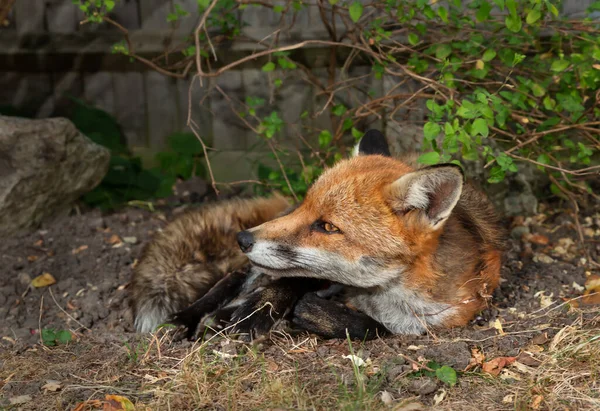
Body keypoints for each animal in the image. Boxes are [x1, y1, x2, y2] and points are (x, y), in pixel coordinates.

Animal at [134, 130, 504, 340]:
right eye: (306, 206)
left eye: (327, 226)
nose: (243, 239)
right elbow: (286, 285)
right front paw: (258, 313)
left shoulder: (437, 322)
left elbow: (372, 327)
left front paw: (307, 314)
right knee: (231, 280)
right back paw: (186, 320)